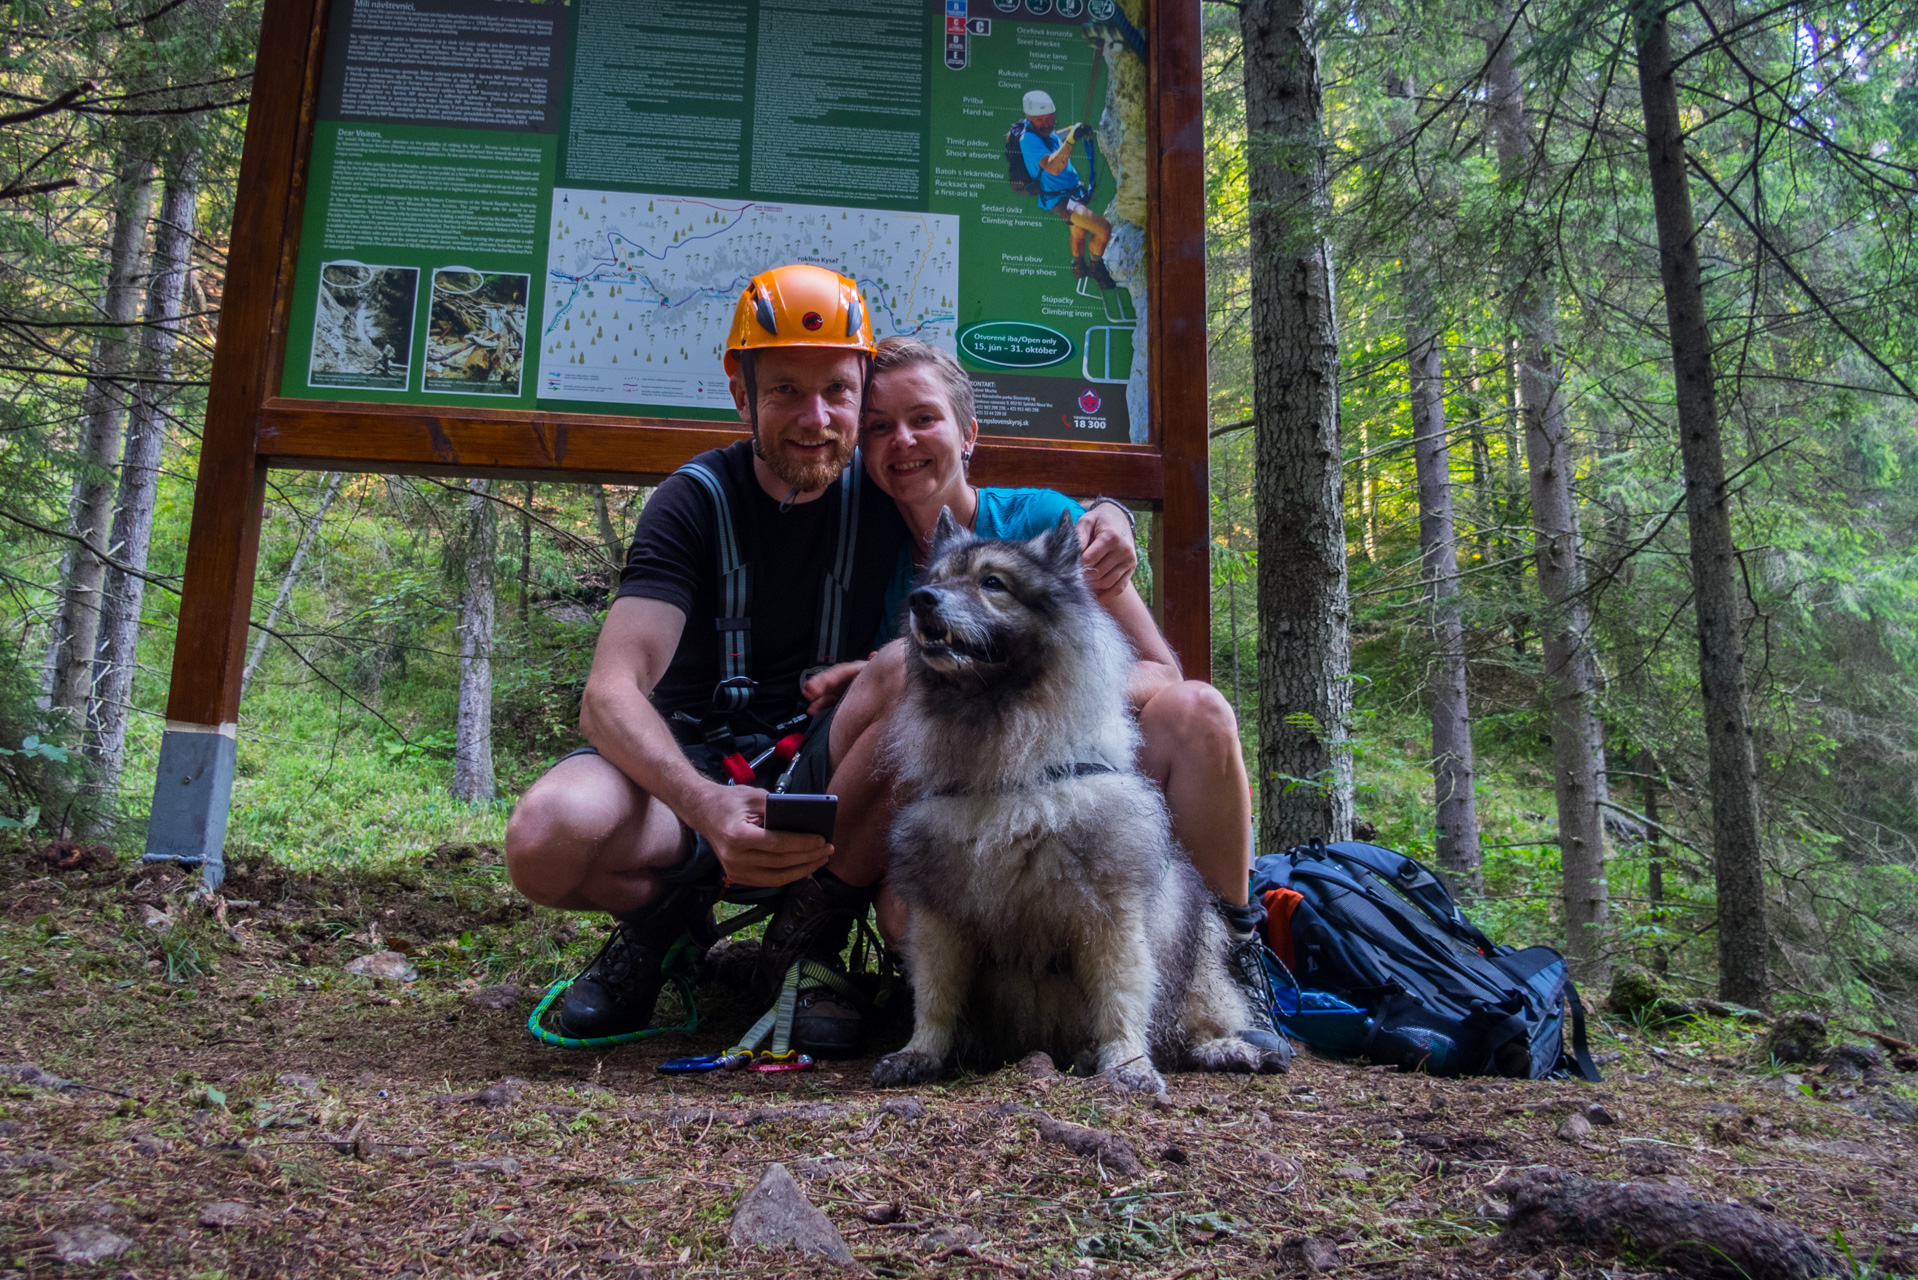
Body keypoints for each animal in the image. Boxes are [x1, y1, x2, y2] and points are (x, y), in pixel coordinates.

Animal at [874, 510, 1288, 1090]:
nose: (922, 600)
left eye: (992, 583)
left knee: (1197, 1021)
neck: (1008, 774)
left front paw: (1128, 1064)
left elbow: (1120, 996)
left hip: (1201, 944)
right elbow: (934, 998)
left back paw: (1227, 1048)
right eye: (934, 579)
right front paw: (919, 1053)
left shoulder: (1111, 910)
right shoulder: (940, 915)